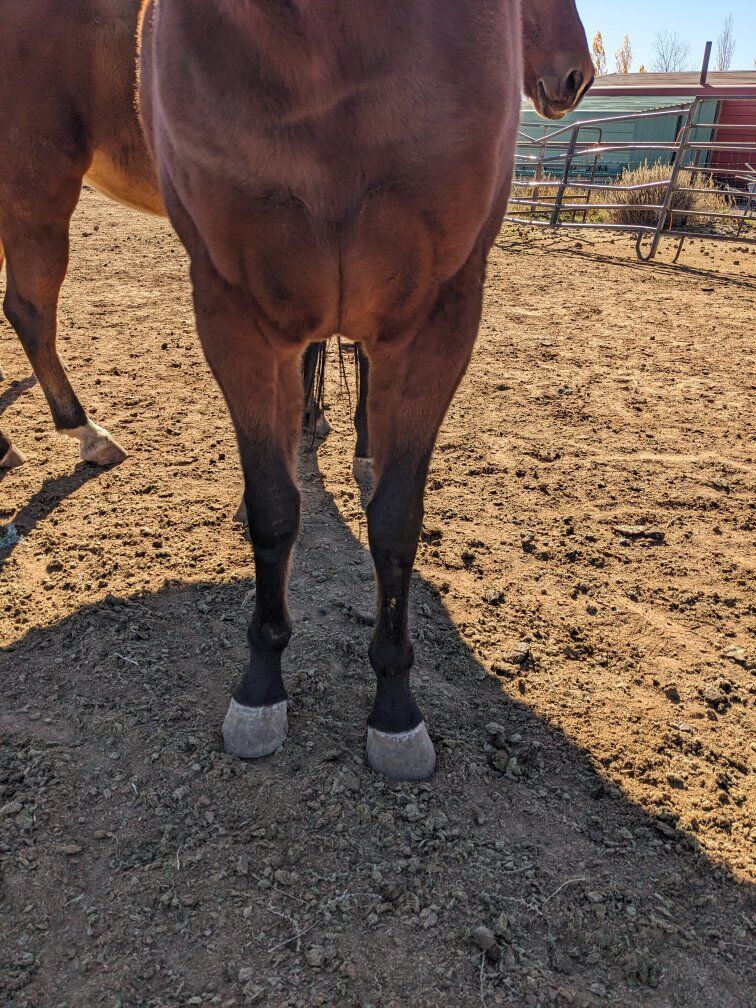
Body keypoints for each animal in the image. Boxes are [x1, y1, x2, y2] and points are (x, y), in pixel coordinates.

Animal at [138, 0, 592, 781]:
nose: (576, 75)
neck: (333, 41)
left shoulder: (438, 317)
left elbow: (396, 521)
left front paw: (396, 709)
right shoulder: (234, 312)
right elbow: (274, 508)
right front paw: (259, 689)